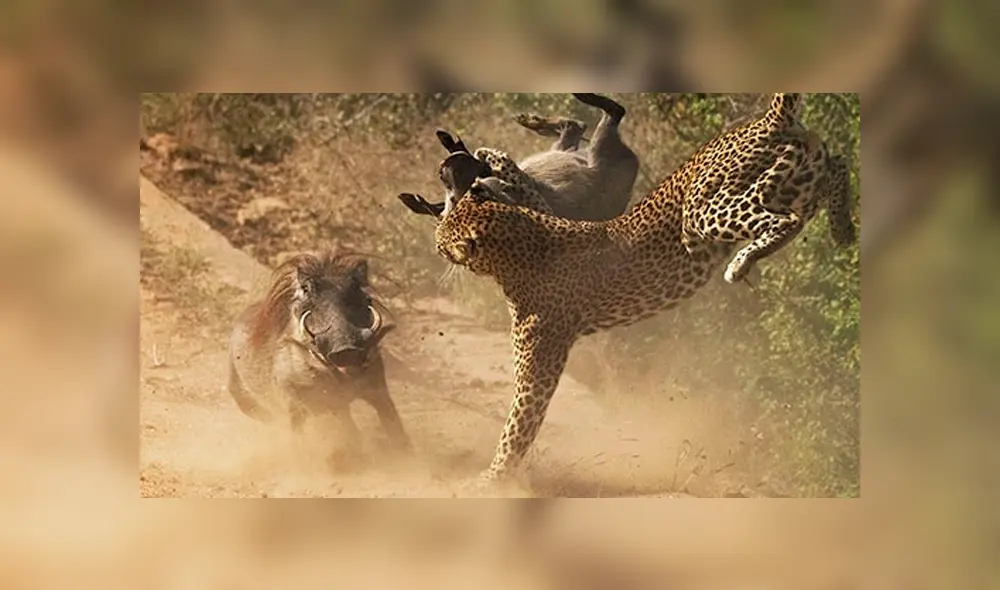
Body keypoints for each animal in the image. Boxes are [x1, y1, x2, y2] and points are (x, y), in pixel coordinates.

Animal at [422, 93, 857, 483]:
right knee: (835, 166)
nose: (436, 245)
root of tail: (767, 119)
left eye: (443, 238)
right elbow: (526, 187)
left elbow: (518, 422)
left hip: (705, 211)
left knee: (784, 220)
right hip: (797, 179)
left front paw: (493, 477)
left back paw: (742, 263)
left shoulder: (541, 353)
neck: (518, 247)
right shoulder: (555, 213)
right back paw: (843, 228)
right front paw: (491, 161)